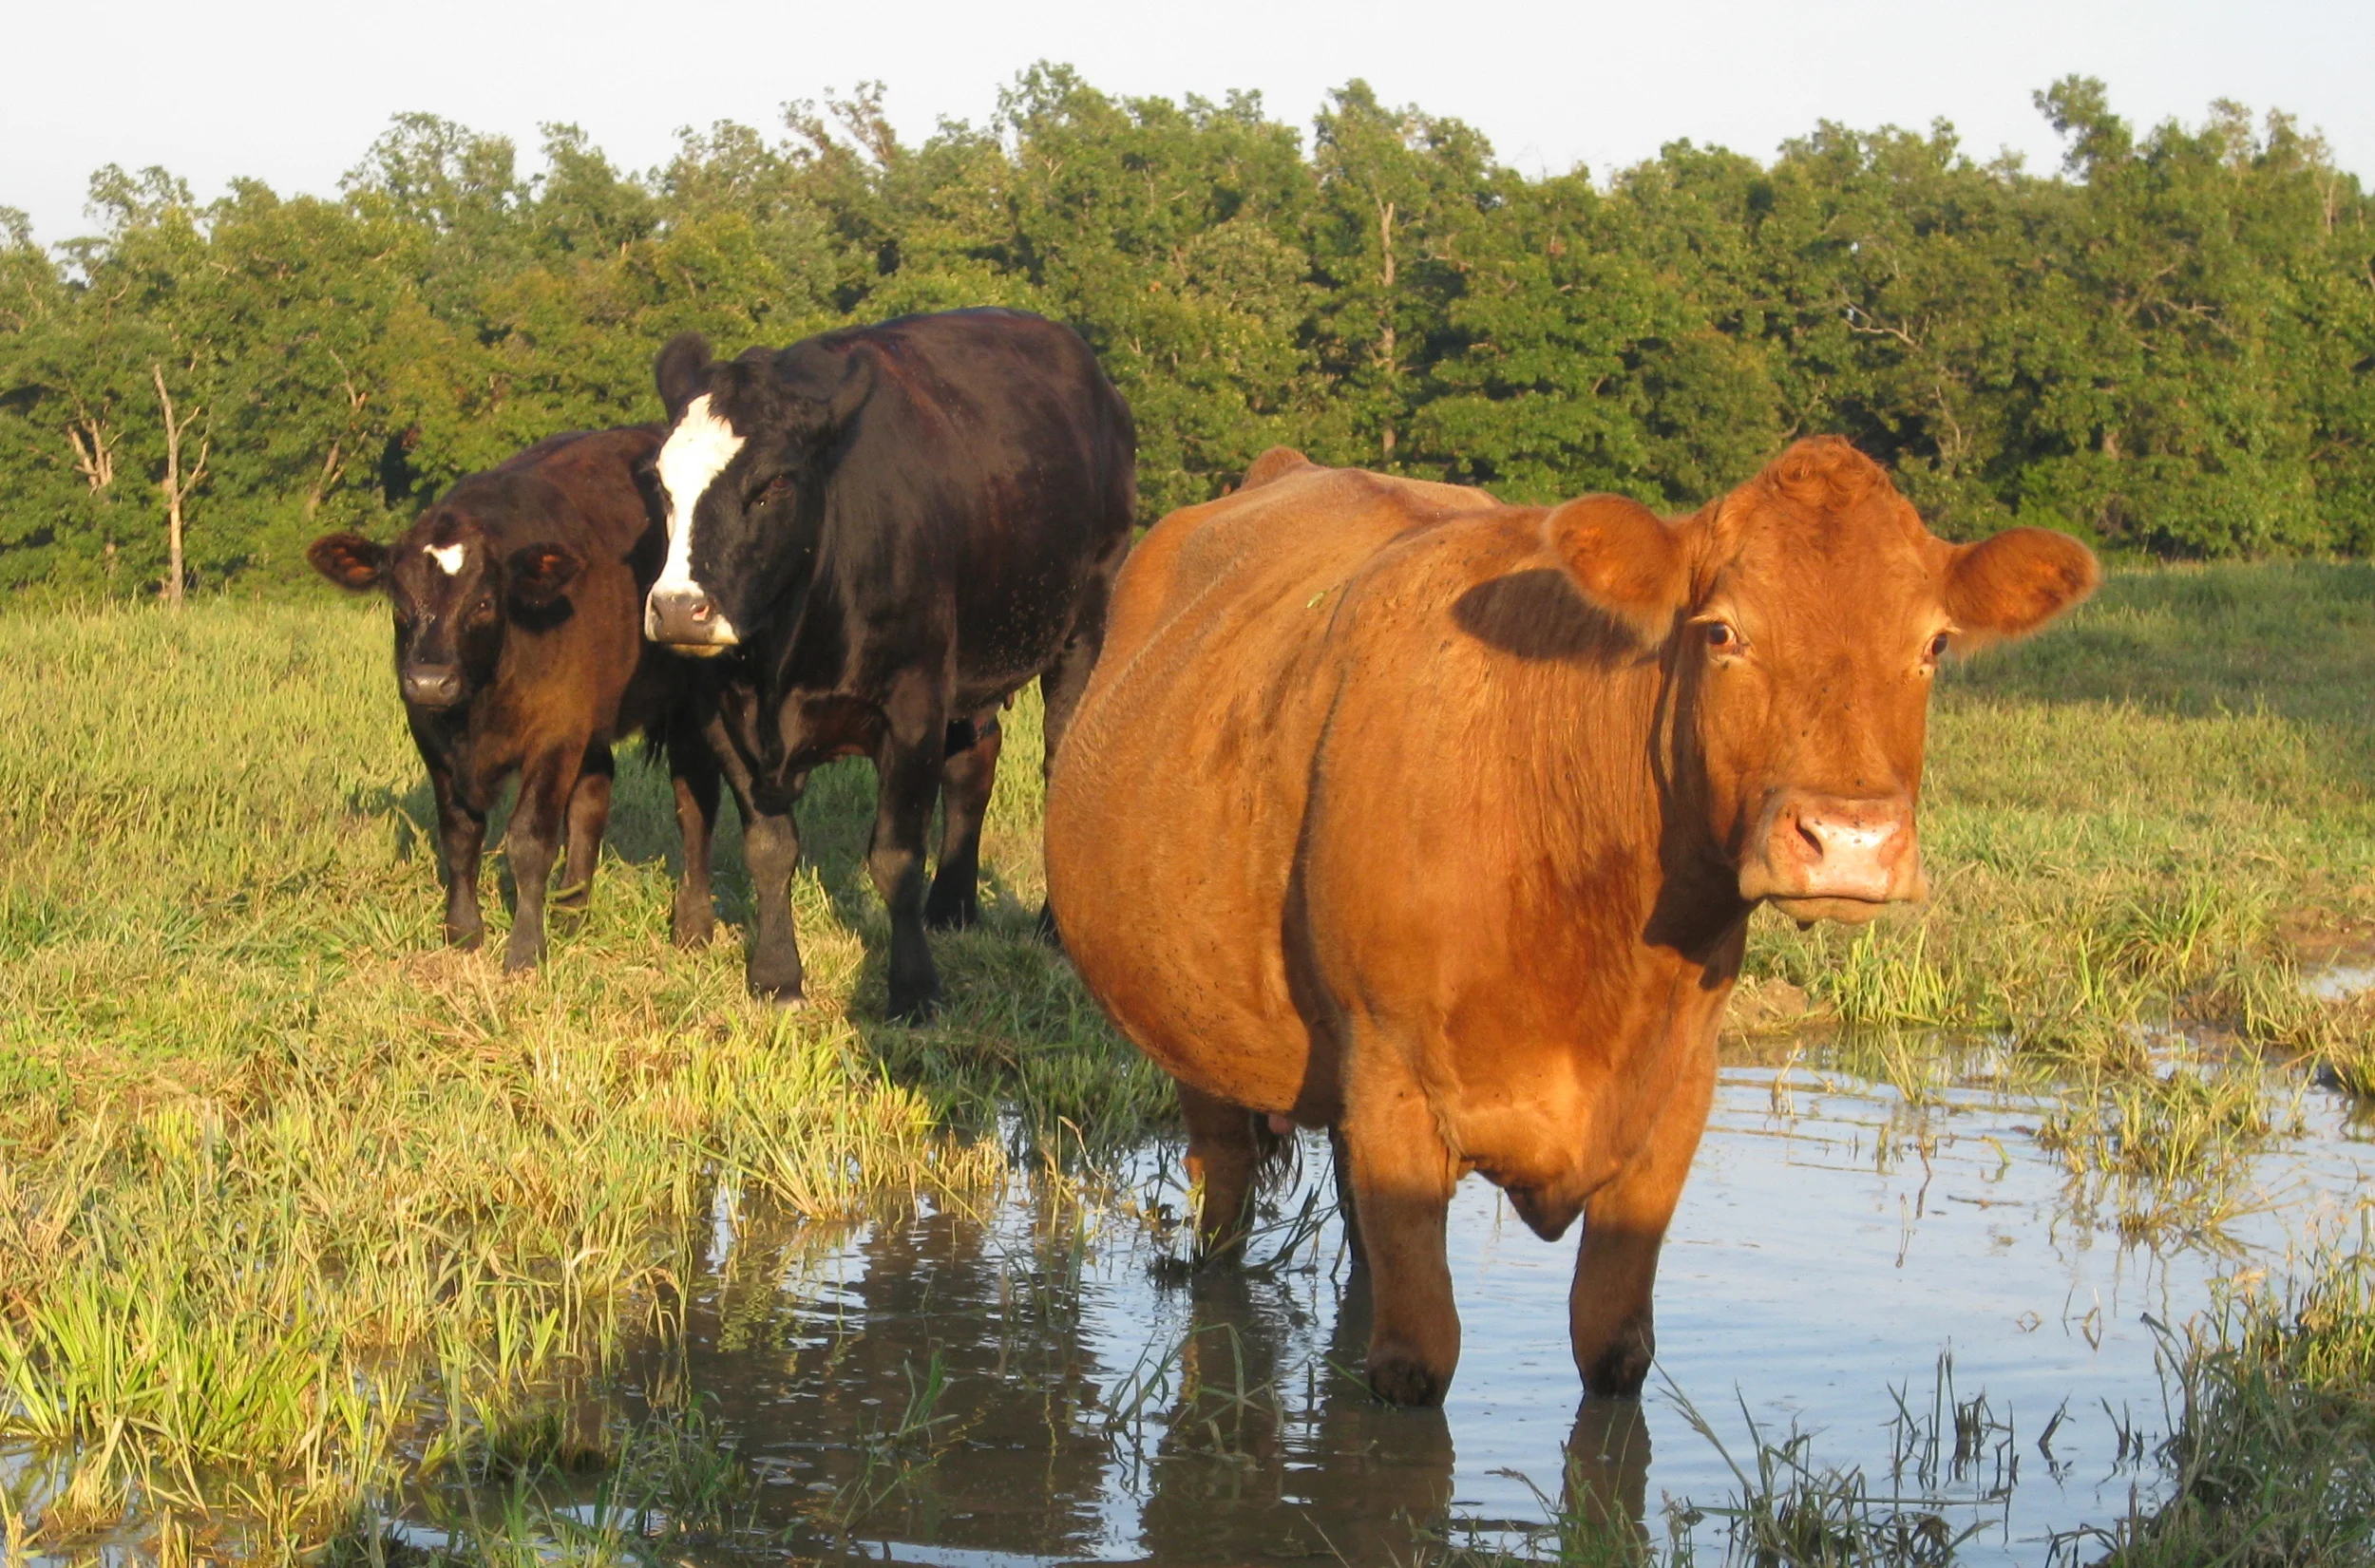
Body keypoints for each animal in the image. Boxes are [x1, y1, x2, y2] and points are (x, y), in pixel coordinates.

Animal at [305, 426, 863, 977]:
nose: (429, 680)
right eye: (399, 602)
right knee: (593, 798)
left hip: (689, 714)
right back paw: (571, 909)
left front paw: (525, 950)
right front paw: (462, 932)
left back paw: (691, 925)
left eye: (483, 603)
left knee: (693, 808)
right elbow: (460, 833)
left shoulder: (556, 734)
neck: (477, 709)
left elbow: (530, 840)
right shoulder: (433, 736)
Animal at [640, 308, 1136, 1020]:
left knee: (1059, 764)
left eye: (773, 483)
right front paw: (776, 975)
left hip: (1085, 621)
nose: (680, 608)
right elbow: (769, 848)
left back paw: (1051, 931)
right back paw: (951, 906)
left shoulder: (912, 706)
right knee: (975, 763)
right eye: (660, 482)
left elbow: (896, 857)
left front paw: (914, 988)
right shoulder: (721, 716)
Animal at [1043, 438, 2097, 1407]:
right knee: (1223, 1212)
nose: (1848, 838)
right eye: (1722, 632)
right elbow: (1416, 1361)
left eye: (1935, 645)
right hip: (1198, 1038)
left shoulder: (1674, 1101)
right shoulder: (1393, 1082)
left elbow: (1612, 1347)